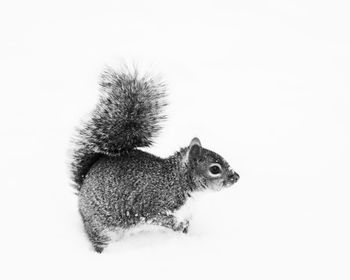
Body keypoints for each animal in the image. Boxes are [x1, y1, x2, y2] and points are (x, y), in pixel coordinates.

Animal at [71, 66, 241, 253]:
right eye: (215, 169)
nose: (236, 177)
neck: (177, 181)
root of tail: (84, 182)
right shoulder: (150, 206)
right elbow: (158, 218)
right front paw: (174, 226)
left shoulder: (187, 214)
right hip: (101, 228)